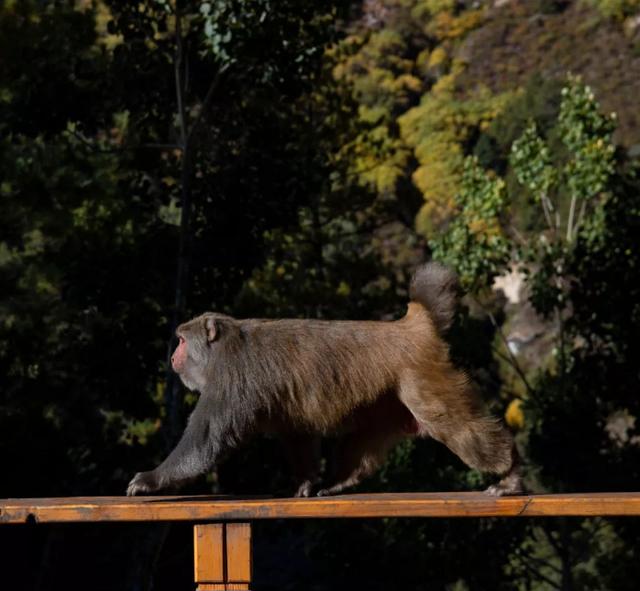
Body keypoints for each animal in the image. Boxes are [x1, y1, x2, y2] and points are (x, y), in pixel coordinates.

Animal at [127, 264, 524, 500]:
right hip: (387, 400)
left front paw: (152, 479)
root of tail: (415, 326)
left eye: (181, 340)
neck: (223, 344)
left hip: (424, 381)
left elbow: (206, 441)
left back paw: (509, 473)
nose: (172, 355)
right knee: (363, 438)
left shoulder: (229, 379)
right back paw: (340, 481)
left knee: (456, 427)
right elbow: (298, 434)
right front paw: (304, 482)